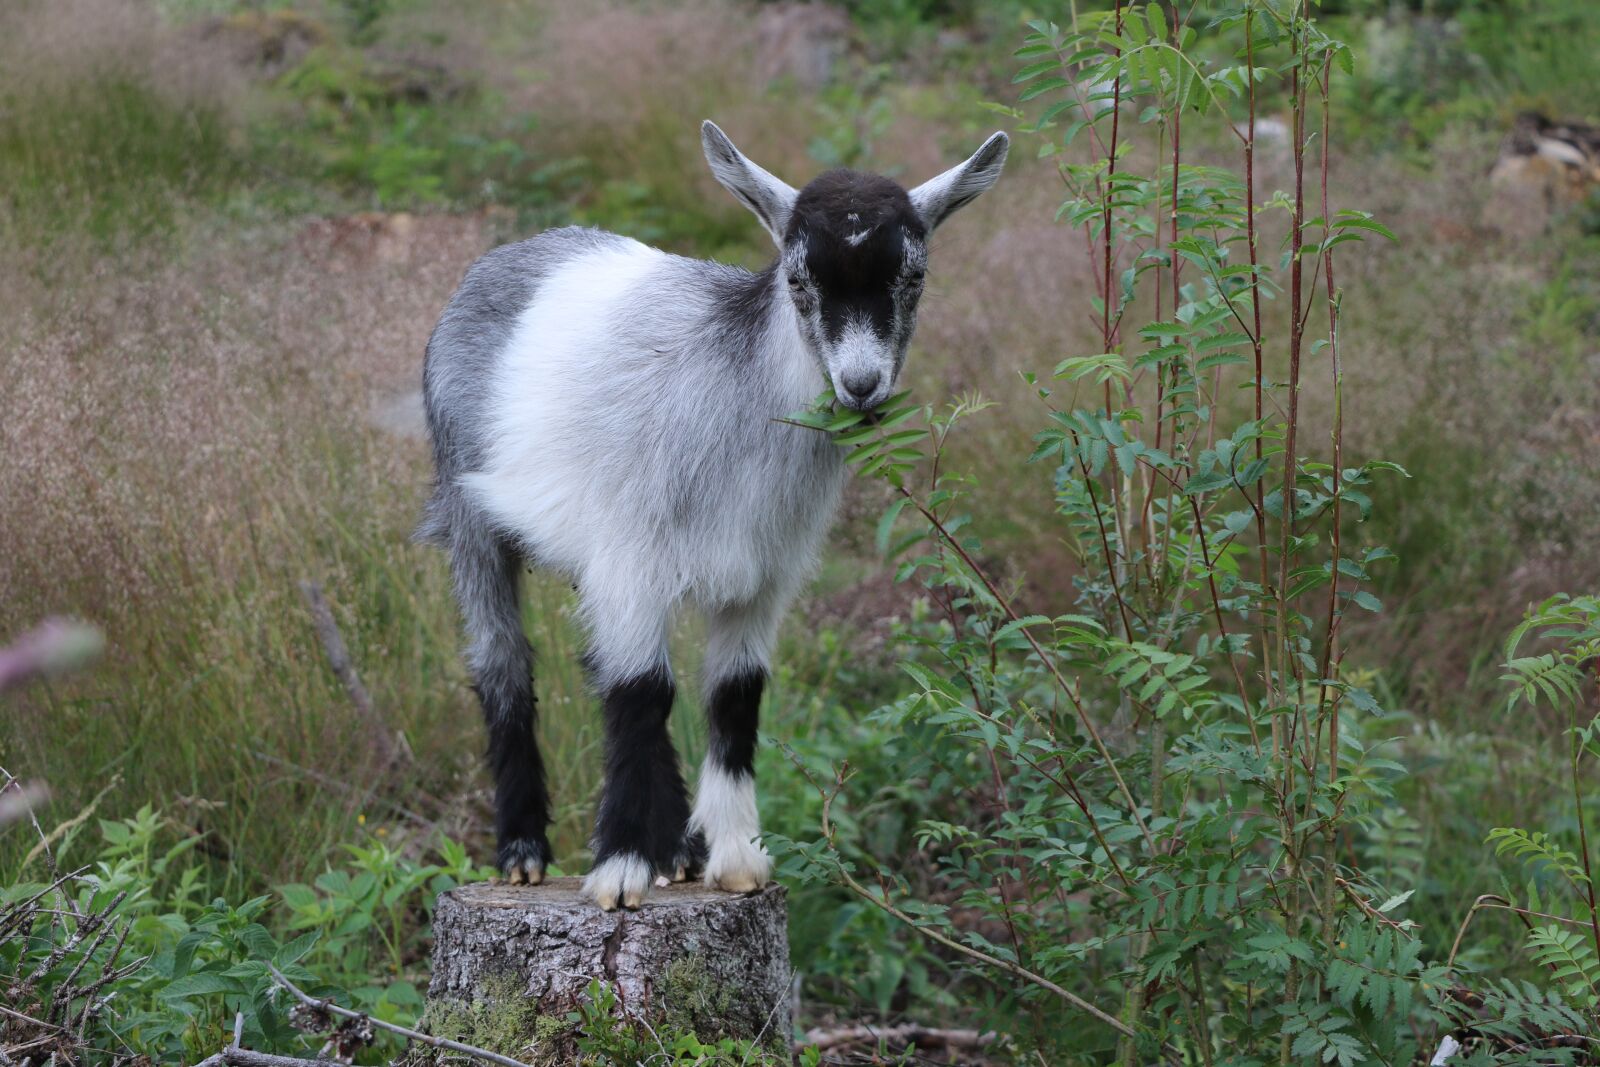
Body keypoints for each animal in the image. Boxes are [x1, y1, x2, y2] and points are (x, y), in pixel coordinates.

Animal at [419, 120, 1008, 910]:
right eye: (798, 280)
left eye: (912, 278)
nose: (861, 385)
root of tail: (495, 261)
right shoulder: (631, 554)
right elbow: (641, 691)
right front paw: (620, 870)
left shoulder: (763, 576)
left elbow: (732, 695)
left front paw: (734, 860)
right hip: (467, 507)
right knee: (504, 659)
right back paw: (523, 852)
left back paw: (675, 848)